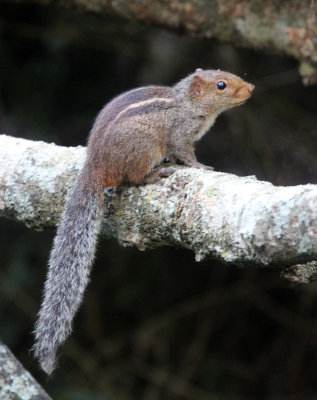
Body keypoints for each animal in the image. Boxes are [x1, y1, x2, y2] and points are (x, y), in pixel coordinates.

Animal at [32, 69, 254, 376]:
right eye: (221, 85)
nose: (251, 88)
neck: (187, 103)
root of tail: (95, 165)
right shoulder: (180, 133)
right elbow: (185, 153)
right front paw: (200, 166)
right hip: (144, 145)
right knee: (134, 178)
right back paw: (153, 174)